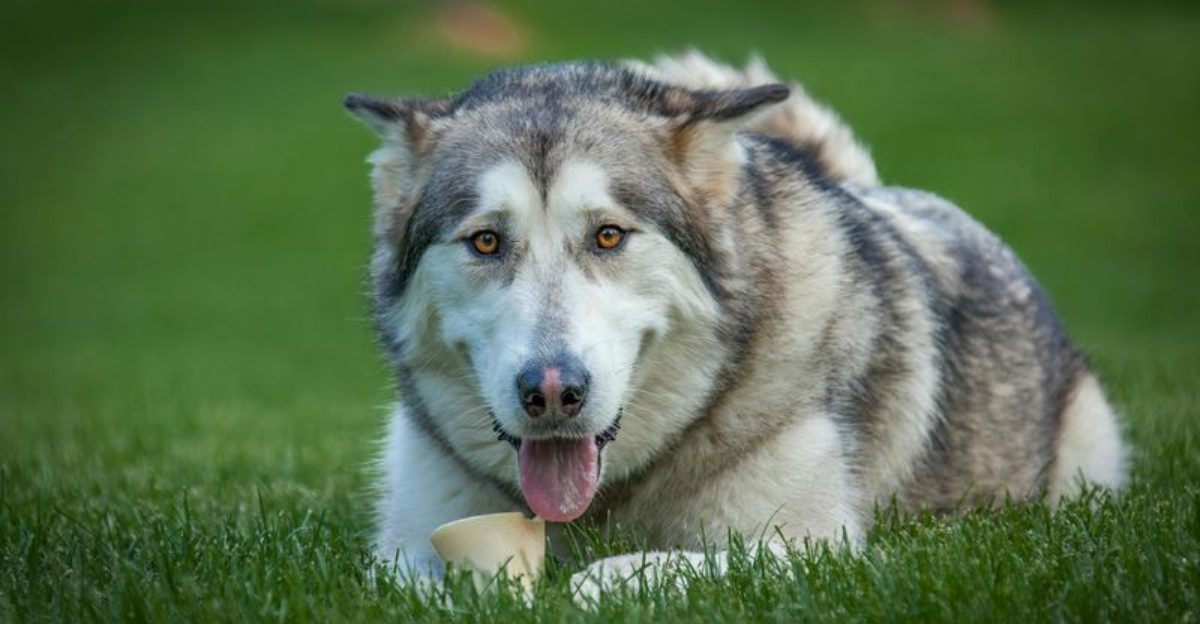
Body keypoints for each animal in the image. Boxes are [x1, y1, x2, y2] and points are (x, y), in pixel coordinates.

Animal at [344, 51, 1127, 597]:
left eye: (608, 236)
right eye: (485, 242)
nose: (553, 392)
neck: (606, 502)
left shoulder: (818, 549)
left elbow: (621, 573)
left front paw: (581, 585)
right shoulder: (404, 542)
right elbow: (402, 577)